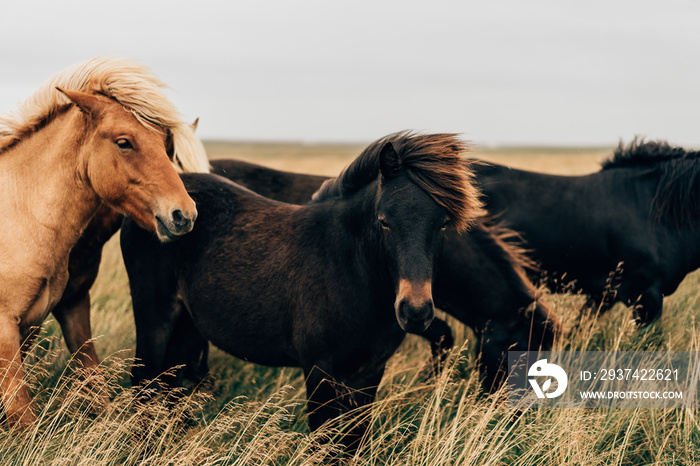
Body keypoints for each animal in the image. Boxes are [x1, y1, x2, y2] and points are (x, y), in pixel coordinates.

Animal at [0, 57, 200, 426]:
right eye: (124, 142)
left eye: (166, 144)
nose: (184, 215)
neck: (19, 215)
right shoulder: (7, 330)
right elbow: (23, 416)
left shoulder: (47, 319)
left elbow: (94, 384)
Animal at [120, 133, 482, 450]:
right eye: (384, 222)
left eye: (443, 224)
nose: (415, 311)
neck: (350, 270)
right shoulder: (320, 371)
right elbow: (324, 441)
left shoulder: (369, 372)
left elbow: (353, 442)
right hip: (154, 319)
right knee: (144, 383)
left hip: (185, 325)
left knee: (169, 384)